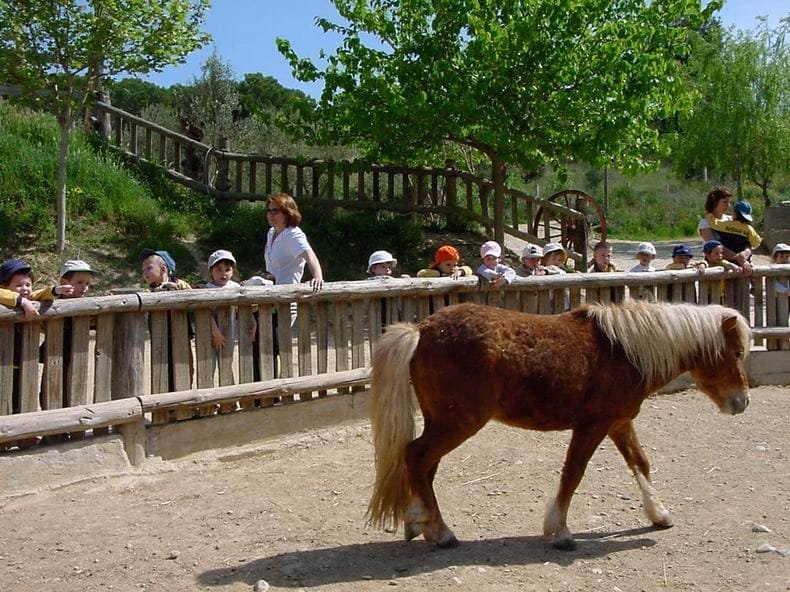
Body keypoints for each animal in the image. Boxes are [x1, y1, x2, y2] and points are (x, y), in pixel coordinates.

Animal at [366, 300, 750, 550]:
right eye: (735, 353)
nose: (742, 402)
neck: (623, 351)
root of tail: (421, 330)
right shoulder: (593, 426)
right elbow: (573, 473)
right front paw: (560, 531)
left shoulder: (618, 423)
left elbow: (640, 463)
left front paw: (659, 514)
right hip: (457, 423)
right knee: (416, 457)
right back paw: (441, 532)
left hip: (441, 421)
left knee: (424, 466)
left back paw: (421, 524)